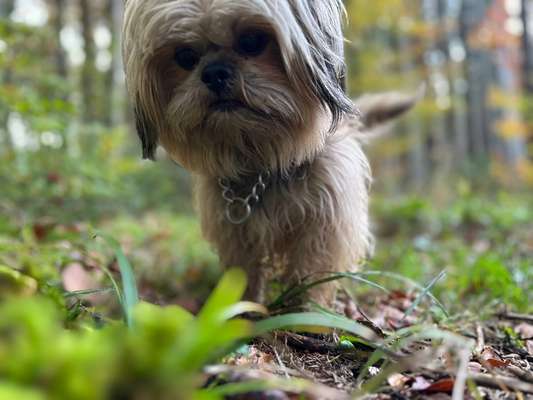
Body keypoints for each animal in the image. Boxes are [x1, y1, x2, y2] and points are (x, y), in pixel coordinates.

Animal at [121, 0, 416, 304]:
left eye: (252, 41)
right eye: (185, 57)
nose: (214, 72)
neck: (263, 162)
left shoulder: (324, 223)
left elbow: (310, 274)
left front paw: (305, 311)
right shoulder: (235, 232)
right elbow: (243, 275)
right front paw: (243, 309)